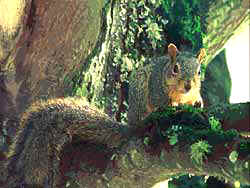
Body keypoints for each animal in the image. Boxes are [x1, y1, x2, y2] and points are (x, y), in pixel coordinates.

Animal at [0, 43, 205, 187]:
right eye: (175, 68)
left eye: (199, 71)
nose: (188, 85)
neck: (180, 93)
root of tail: (130, 126)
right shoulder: (156, 87)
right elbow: (160, 102)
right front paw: (174, 106)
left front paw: (198, 103)